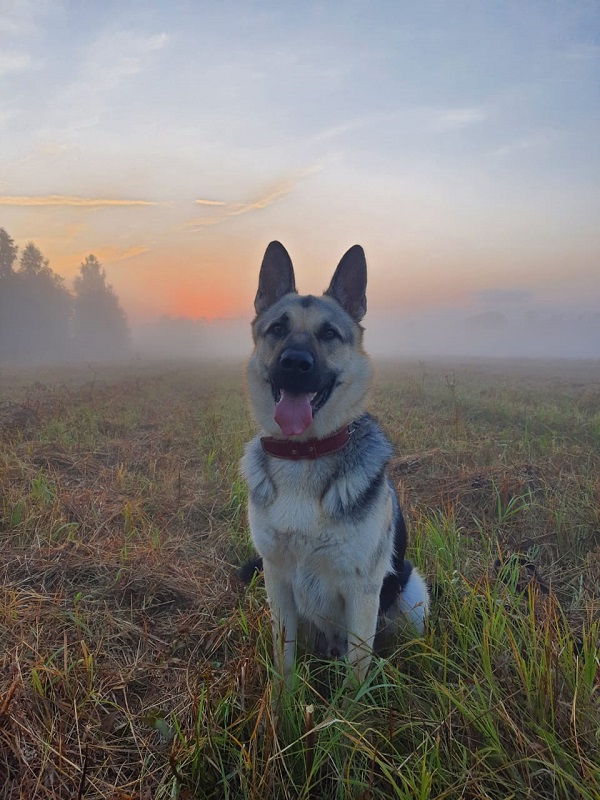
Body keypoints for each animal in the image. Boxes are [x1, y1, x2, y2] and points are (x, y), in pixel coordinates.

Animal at [239, 241, 426, 684]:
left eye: (328, 334)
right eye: (277, 329)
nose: (294, 363)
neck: (305, 454)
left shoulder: (362, 592)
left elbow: (357, 669)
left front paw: (351, 705)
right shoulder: (277, 581)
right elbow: (284, 659)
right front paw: (283, 699)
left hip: (413, 592)